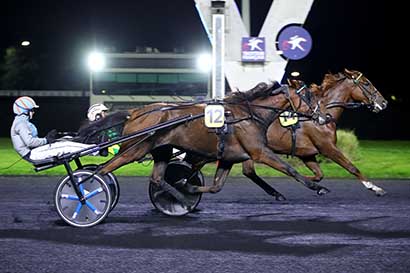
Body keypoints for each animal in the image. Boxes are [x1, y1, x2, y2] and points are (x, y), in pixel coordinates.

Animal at [97, 82, 330, 203]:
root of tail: (135, 112)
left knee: (157, 178)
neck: (250, 115)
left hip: (161, 150)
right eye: (309, 97)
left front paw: (187, 186)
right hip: (134, 149)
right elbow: (290, 169)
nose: (324, 117)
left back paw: (178, 196)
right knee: (102, 170)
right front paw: (317, 187)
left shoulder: (228, 158)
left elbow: (216, 186)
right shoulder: (260, 152)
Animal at [242, 68, 390, 198]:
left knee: (248, 172)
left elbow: (319, 175)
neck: (320, 116)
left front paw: (311, 183)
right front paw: (375, 188)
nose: (384, 102)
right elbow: (351, 167)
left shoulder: (306, 153)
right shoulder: (327, 147)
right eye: (366, 83)